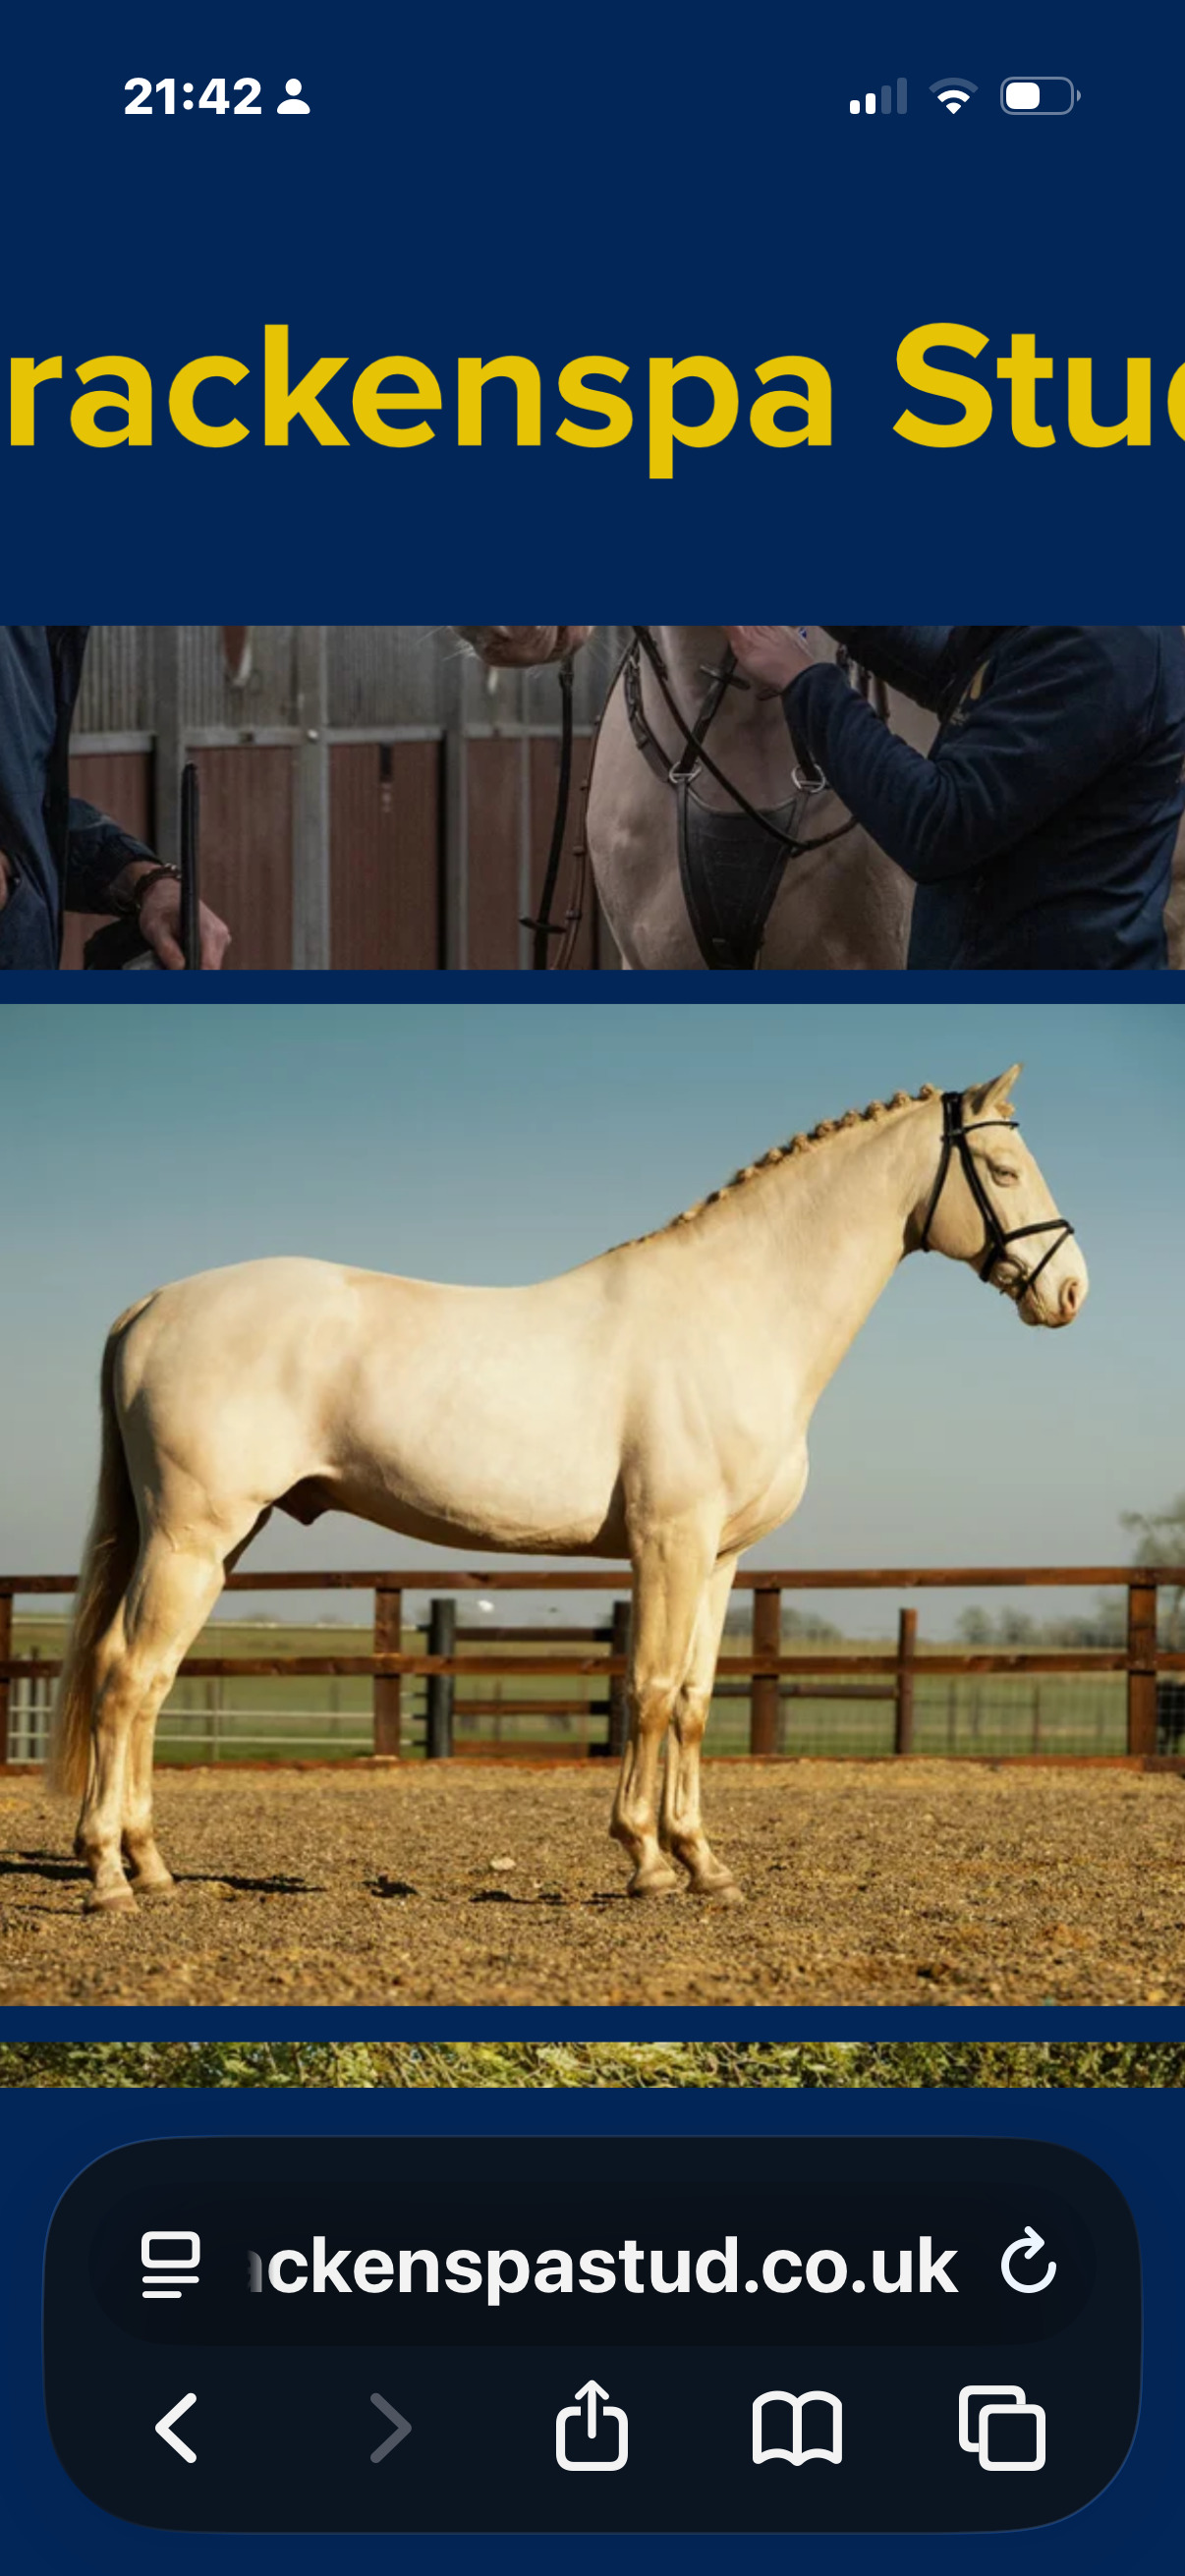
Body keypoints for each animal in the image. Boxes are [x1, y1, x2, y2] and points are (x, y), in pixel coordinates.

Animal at [53, 1066, 1085, 1916]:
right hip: (190, 1537)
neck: (737, 1313)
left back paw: (152, 1865)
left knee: (149, 1682)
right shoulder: (667, 1542)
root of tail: (150, 1305)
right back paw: (110, 1878)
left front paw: (706, 1864)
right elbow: (650, 1691)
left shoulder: (721, 1558)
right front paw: (648, 1861)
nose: (1068, 1290)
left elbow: (697, 1701)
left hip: (220, 1543)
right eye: (1001, 1169)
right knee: (126, 1675)